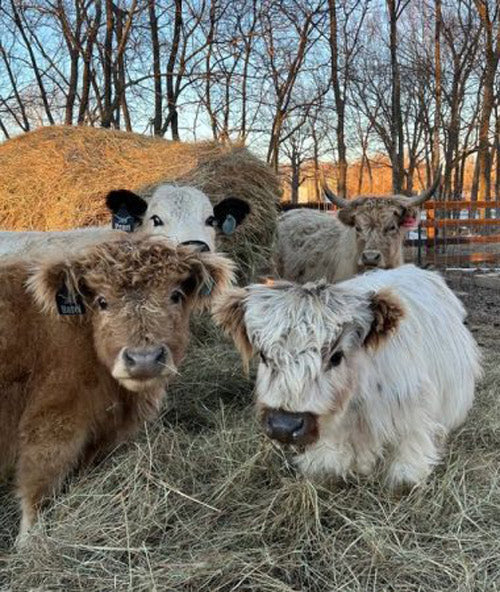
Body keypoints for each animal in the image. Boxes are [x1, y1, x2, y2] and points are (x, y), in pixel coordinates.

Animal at [0, 234, 234, 540]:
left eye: (175, 295)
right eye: (102, 301)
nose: (144, 359)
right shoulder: (52, 426)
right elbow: (37, 491)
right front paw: (30, 543)